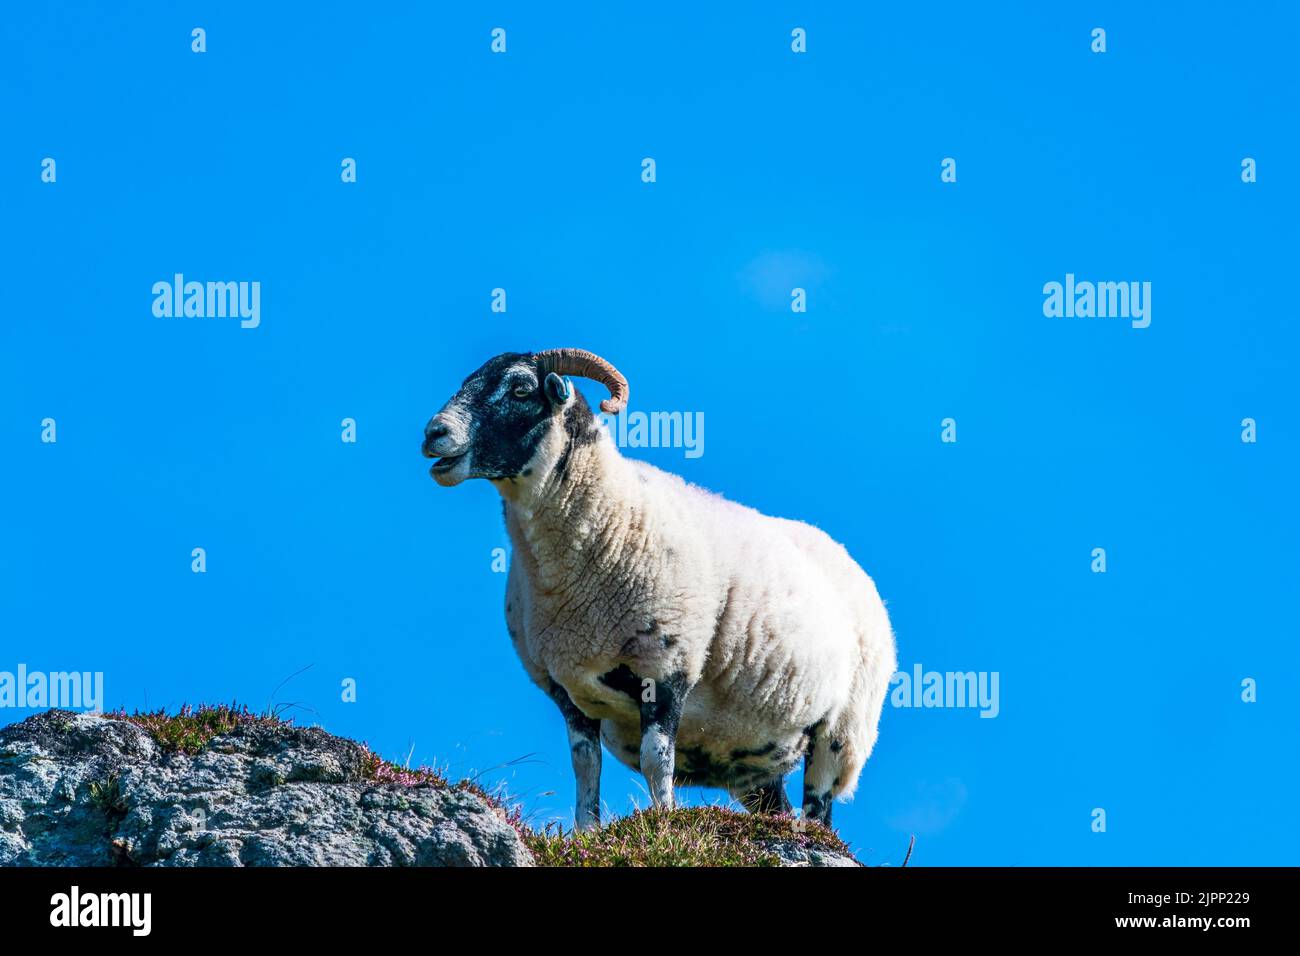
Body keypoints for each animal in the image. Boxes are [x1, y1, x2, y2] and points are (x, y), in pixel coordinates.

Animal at [423, 349, 897, 831]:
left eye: (520, 389)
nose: (433, 434)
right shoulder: (566, 687)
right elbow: (585, 765)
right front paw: (586, 831)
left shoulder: (667, 665)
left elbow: (656, 759)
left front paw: (664, 822)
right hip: (757, 758)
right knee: (778, 806)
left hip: (842, 731)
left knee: (819, 806)